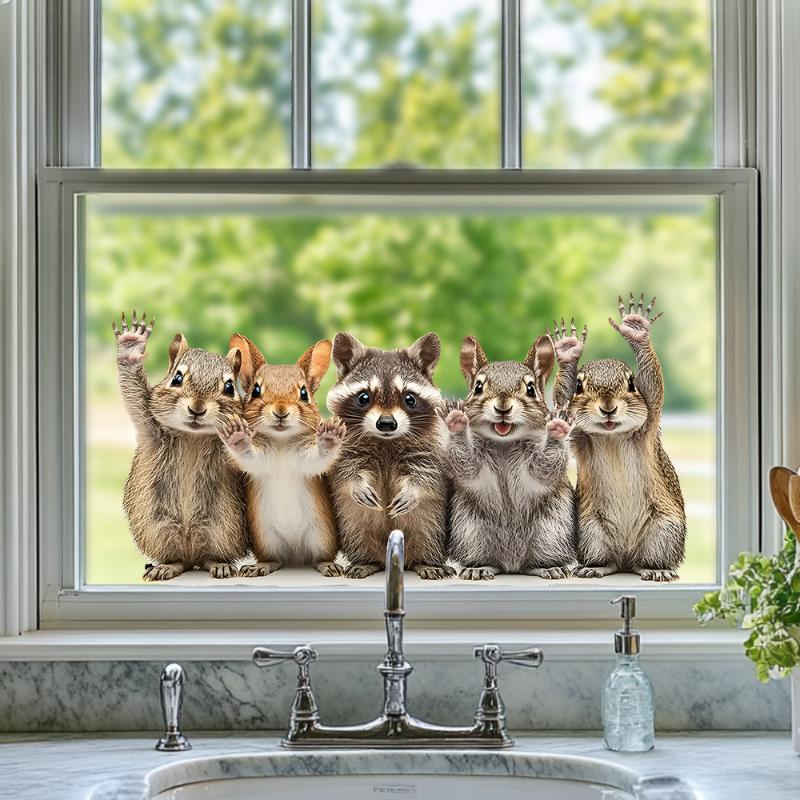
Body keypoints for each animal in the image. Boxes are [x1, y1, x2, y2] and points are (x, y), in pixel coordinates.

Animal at [113, 311, 249, 581]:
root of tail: (190, 550)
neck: (192, 436)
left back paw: (219, 564)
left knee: (208, 556)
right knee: (178, 559)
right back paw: (167, 566)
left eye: (230, 387)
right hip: (159, 529)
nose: (197, 408)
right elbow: (134, 395)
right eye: (177, 378)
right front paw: (131, 346)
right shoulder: (149, 427)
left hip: (221, 529)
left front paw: (238, 434)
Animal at [218, 334, 345, 578]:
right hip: (266, 539)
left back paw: (328, 565)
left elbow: (318, 459)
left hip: (321, 536)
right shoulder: (260, 461)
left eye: (304, 393)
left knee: (320, 557)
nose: (281, 411)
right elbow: (248, 456)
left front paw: (329, 435)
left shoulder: (305, 461)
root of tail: (295, 555)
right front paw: (237, 436)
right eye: (256, 391)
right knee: (275, 560)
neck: (282, 442)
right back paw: (260, 566)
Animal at [326, 332, 454, 580]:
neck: (386, 441)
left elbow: (426, 476)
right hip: (351, 522)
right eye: (363, 397)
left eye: (409, 398)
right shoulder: (345, 448)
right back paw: (366, 561)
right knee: (357, 531)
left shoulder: (430, 449)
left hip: (432, 522)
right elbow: (346, 471)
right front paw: (357, 484)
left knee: (428, 532)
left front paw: (412, 491)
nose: (386, 423)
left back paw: (426, 562)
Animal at [442, 335, 577, 580]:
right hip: (470, 532)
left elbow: (546, 468)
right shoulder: (474, 463)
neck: (504, 444)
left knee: (535, 560)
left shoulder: (537, 464)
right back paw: (478, 568)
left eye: (531, 389)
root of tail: (511, 564)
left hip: (552, 532)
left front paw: (558, 427)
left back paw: (549, 567)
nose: (503, 406)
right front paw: (455, 420)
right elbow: (466, 464)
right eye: (478, 387)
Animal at [566, 294, 686, 581]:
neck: (612, 436)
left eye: (632, 383)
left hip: (664, 530)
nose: (608, 408)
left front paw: (636, 330)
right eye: (578, 385)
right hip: (590, 531)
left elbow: (654, 388)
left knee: (648, 559)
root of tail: (626, 557)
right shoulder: (579, 439)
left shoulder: (648, 426)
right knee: (608, 560)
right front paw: (567, 354)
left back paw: (656, 570)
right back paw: (596, 567)